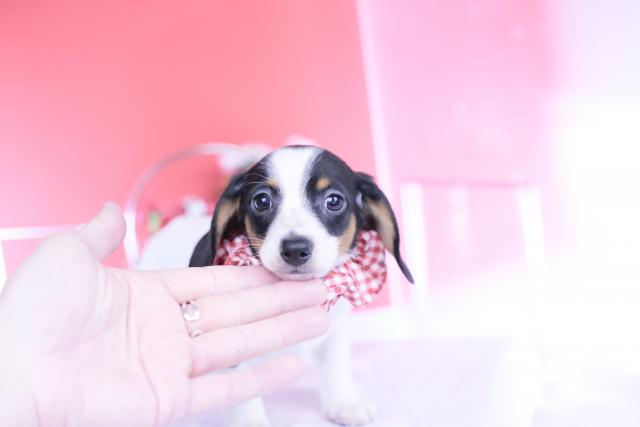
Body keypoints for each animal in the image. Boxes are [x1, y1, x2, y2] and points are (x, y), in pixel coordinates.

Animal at [189, 145, 413, 426]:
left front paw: (345, 403)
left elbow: (335, 369)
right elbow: (243, 398)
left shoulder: (333, 332)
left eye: (334, 201)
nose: (295, 249)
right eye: (261, 201)